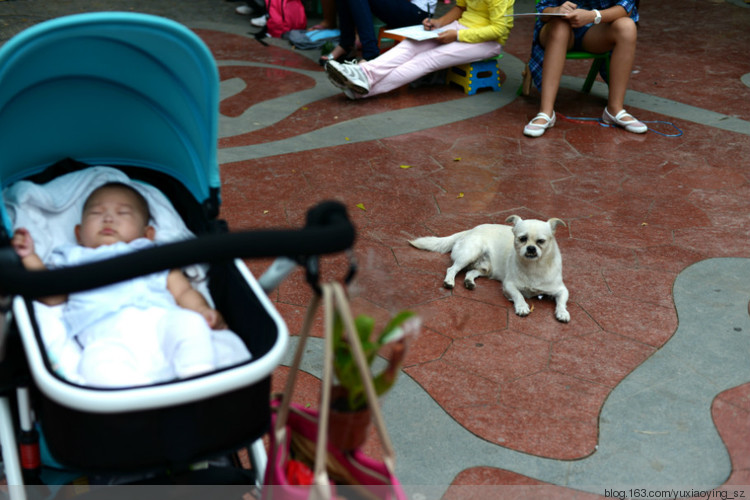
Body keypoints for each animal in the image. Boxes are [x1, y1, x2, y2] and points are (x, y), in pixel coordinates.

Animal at [412, 214, 568, 322]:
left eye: (541, 241)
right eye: (522, 238)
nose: (531, 248)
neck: (534, 266)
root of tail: (469, 230)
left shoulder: (561, 290)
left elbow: (561, 301)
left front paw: (562, 312)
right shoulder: (509, 285)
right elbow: (518, 294)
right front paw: (522, 306)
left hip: (485, 268)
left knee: (470, 272)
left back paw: (469, 282)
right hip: (470, 253)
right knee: (452, 269)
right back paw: (449, 281)